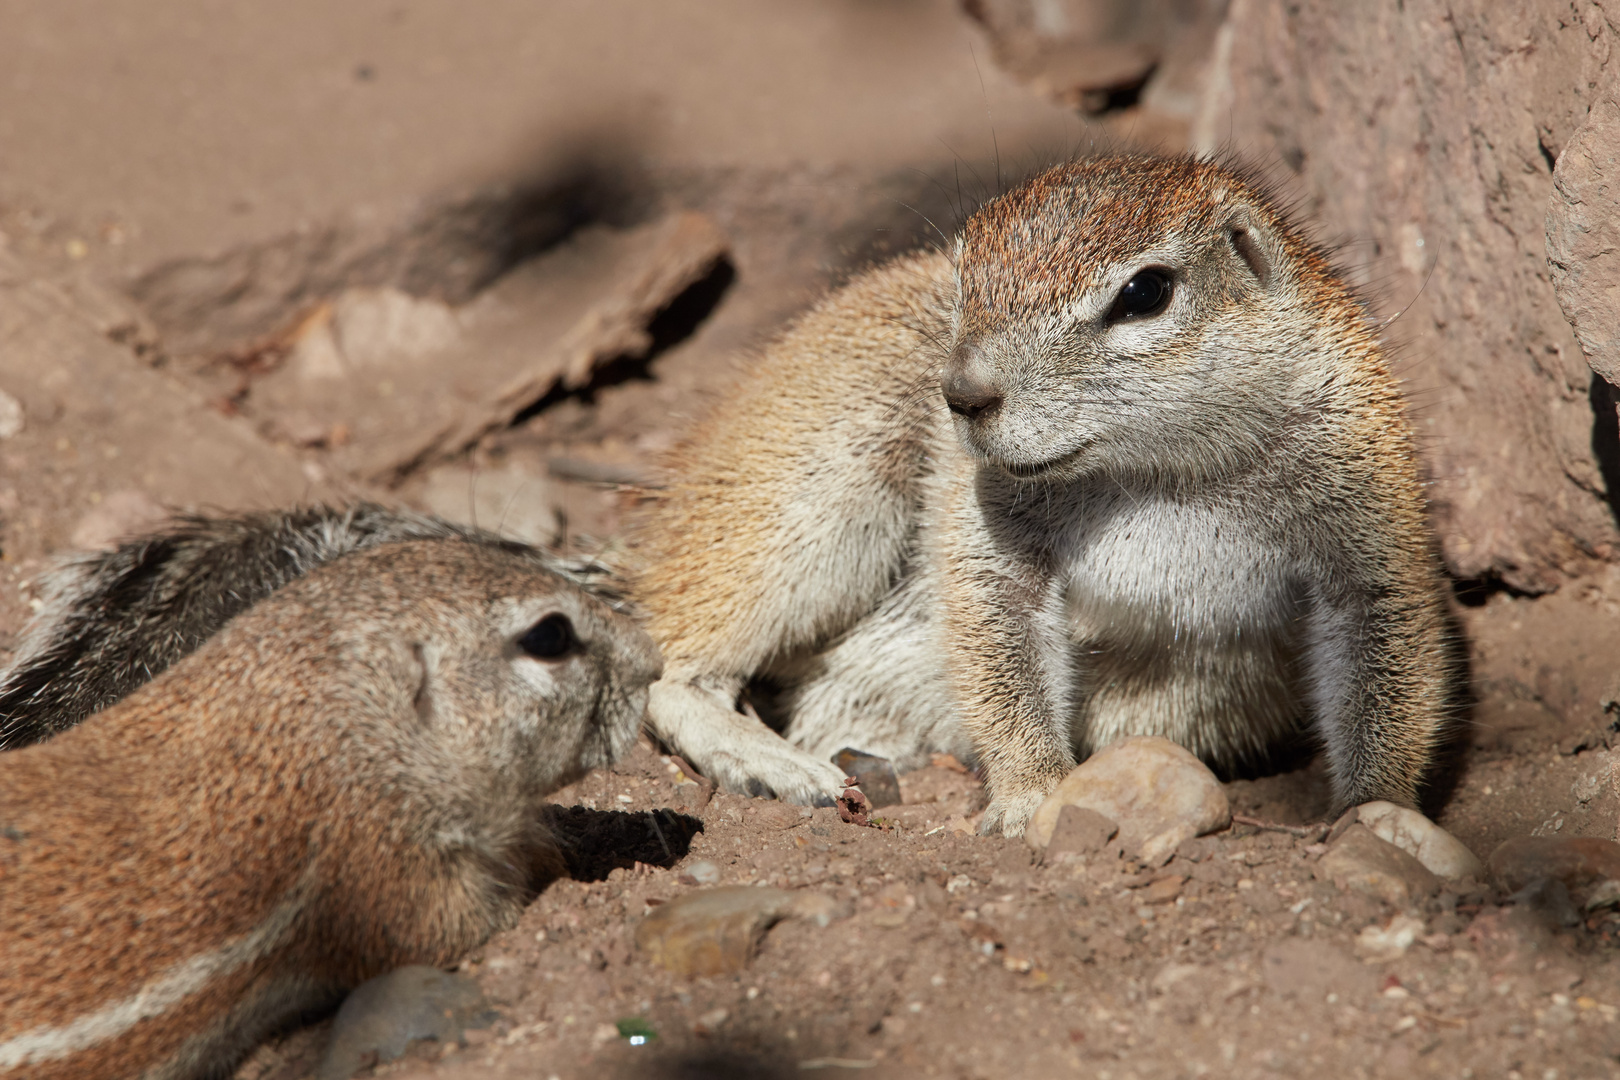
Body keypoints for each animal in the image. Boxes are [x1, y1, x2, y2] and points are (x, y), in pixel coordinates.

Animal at [625, 153, 1464, 835]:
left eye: (1146, 293)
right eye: (965, 273)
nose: (961, 395)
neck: (1159, 472)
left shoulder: (1369, 511)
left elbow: (1388, 649)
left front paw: (1378, 813)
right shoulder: (987, 537)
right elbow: (999, 648)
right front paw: (1033, 793)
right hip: (812, 483)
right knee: (673, 669)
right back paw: (777, 765)